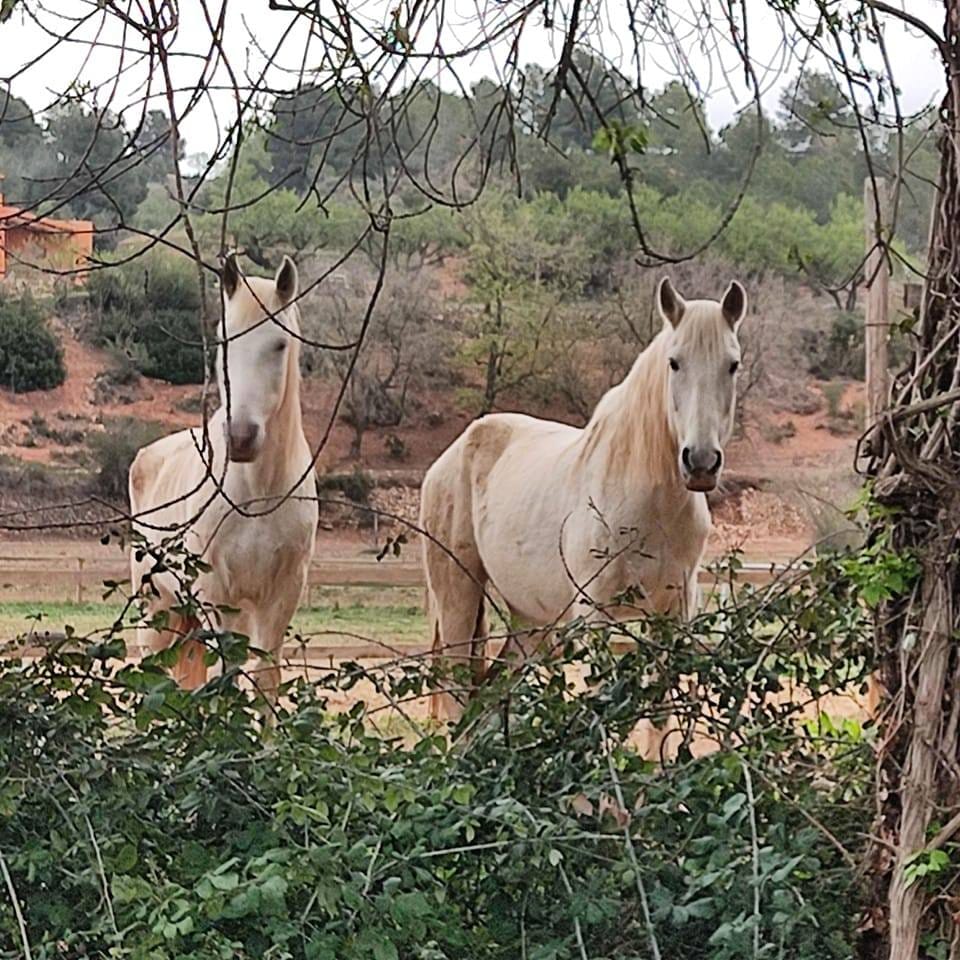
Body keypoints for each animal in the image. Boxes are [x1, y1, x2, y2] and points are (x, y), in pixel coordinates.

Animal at [128, 253, 318, 703]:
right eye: (224, 341)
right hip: (156, 608)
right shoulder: (218, 593)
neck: (257, 495)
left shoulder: (280, 596)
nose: (242, 438)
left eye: (280, 344)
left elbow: (263, 678)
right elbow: (225, 678)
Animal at [420, 276, 748, 742]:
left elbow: (660, 716)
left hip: (531, 620)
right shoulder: (597, 617)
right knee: (456, 695)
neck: (649, 506)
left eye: (732, 364)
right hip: (457, 600)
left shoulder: (672, 616)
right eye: (675, 362)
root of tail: (451, 456)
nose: (700, 462)